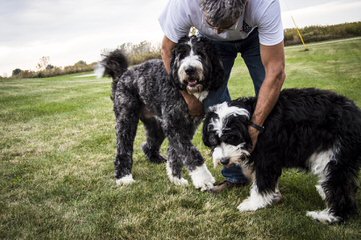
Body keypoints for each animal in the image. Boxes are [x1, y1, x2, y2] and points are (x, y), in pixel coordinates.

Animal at [97, 35, 224, 189]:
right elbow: (190, 152)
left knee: (148, 144)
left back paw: (155, 158)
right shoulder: (173, 124)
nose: (189, 69)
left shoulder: (187, 126)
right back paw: (124, 177)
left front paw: (176, 178)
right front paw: (204, 179)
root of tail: (123, 74)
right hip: (126, 119)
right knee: (123, 147)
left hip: (156, 126)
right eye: (182, 55)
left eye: (201, 53)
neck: (185, 91)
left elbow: (176, 152)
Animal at [202, 88, 360, 223]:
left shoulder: (267, 158)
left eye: (232, 138)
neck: (252, 119)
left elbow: (262, 183)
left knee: (340, 188)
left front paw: (254, 203)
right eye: (214, 140)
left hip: (335, 156)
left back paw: (328, 216)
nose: (224, 160)